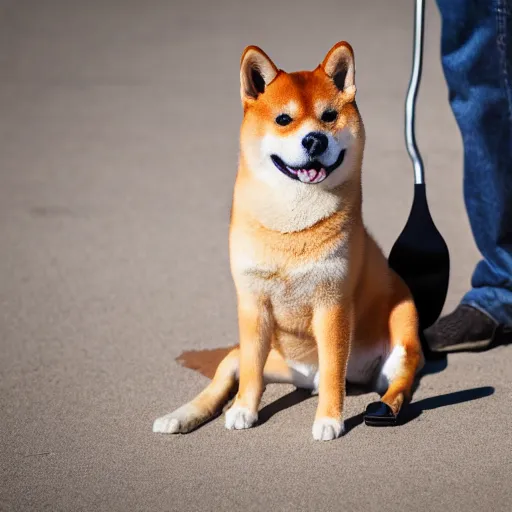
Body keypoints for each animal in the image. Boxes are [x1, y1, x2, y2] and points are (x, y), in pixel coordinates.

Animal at [153, 41, 424, 440]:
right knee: (227, 372)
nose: (314, 139)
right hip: (268, 359)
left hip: (402, 342)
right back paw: (181, 414)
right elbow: (250, 371)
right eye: (284, 119)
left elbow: (334, 371)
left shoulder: (332, 304)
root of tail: (305, 377)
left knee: (397, 386)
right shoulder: (252, 304)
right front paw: (243, 410)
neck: (291, 226)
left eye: (329, 116)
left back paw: (384, 407)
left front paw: (329, 419)